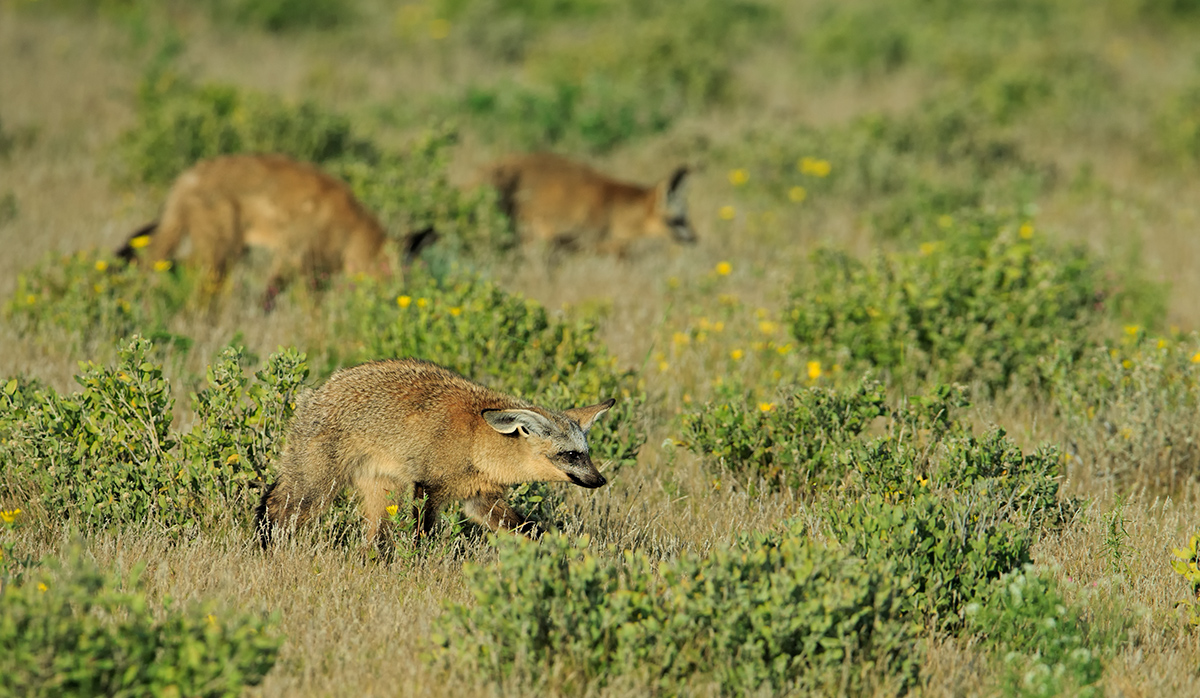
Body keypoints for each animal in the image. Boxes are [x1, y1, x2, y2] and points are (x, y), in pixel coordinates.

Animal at [116, 153, 436, 311]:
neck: (352, 232)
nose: (397, 301)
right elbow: (306, 312)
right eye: (389, 275)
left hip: (221, 252)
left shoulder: (301, 266)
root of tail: (186, 177)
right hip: (221, 253)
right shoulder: (300, 264)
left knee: (162, 264)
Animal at [254, 358, 614, 549]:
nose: (600, 480)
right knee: (274, 507)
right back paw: (267, 548)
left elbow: (530, 529)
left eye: (586, 453)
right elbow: (421, 537)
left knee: (375, 540)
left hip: (381, 494)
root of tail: (320, 390)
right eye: (571, 455)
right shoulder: (428, 488)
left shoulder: (480, 499)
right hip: (314, 489)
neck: (476, 442)